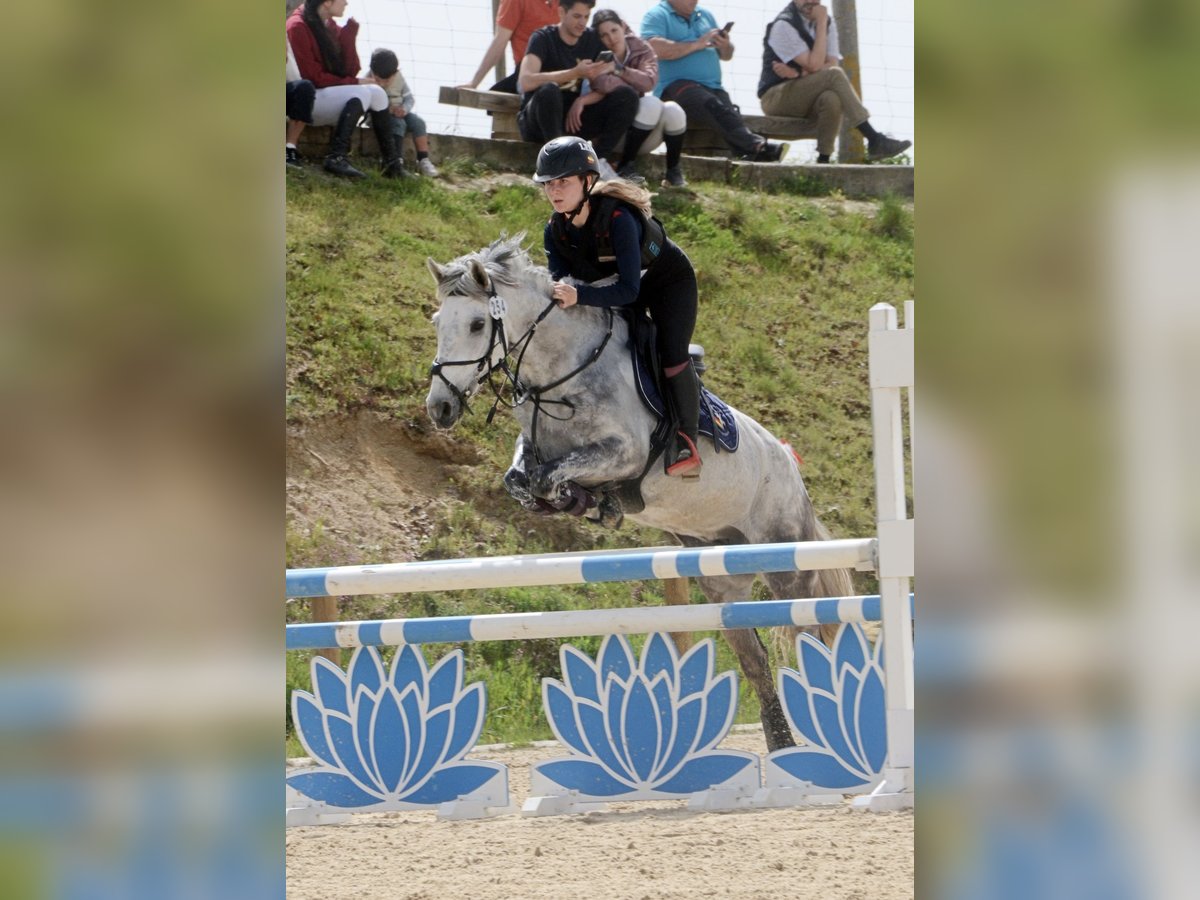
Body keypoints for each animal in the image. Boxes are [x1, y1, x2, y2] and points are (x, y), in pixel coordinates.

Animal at [427, 237, 859, 753]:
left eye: (476, 324)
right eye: (437, 322)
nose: (440, 407)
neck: (561, 371)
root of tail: (792, 467)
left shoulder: (625, 453)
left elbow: (551, 476)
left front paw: (593, 501)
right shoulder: (534, 448)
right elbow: (522, 479)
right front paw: (571, 501)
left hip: (784, 563)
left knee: (809, 634)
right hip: (722, 573)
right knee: (753, 654)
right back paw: (782, 744)